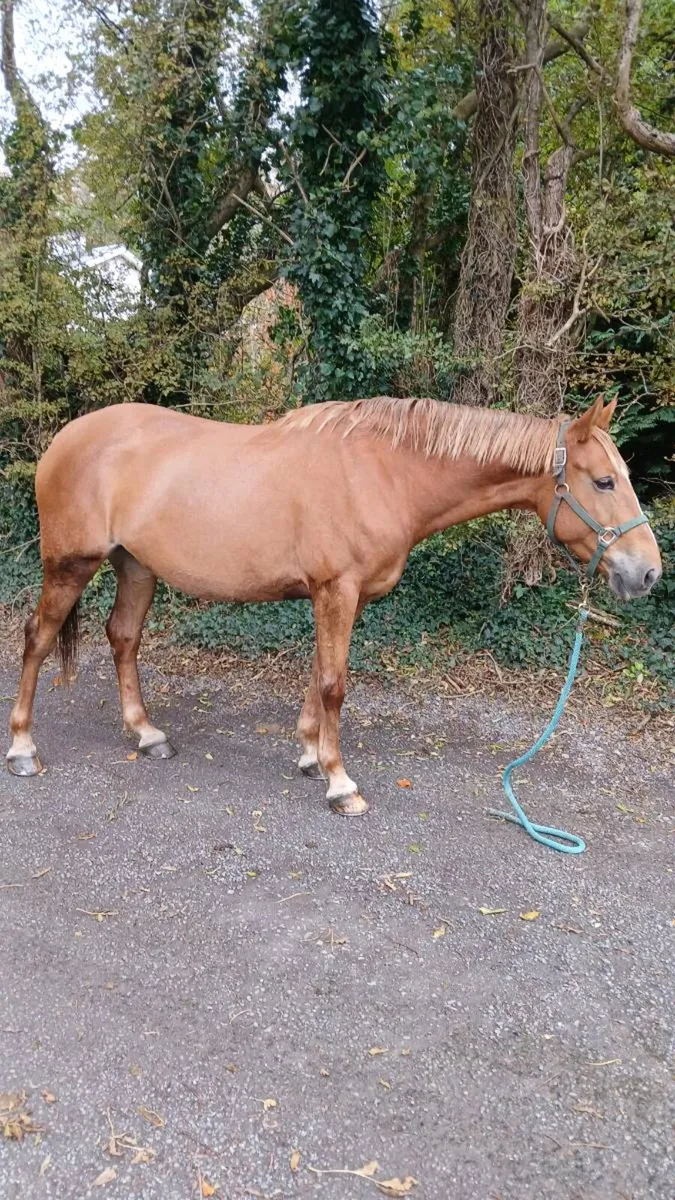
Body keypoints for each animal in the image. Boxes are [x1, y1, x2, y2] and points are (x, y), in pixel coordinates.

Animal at [6, 394, 661, 814]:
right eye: (604, 481)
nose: (648, 572)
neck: (385, 473)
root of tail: (64, 440)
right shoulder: (336, 590)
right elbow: (333, 684)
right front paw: (340, 784)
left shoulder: (342, 595)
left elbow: (320, 672)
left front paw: (309, 755)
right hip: (70, 565)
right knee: (37, 638)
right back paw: (22, 748)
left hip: (135, 566)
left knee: (123, 637)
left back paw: (146, 734)